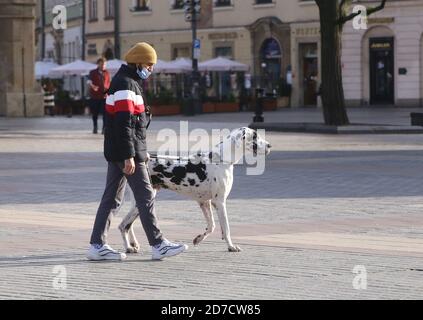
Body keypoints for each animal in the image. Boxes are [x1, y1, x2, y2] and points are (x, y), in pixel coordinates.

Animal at [119, 127, 272, 252]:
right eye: (255, 136)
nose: (270, 145)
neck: (221, 159)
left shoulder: (205, 202)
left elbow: (211, 226)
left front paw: (198, 238)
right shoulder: (220, 202)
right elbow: (226, 228)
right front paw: (231, 246)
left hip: (138, 202)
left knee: (129, 225)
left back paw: (133, 244)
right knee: (123, 225)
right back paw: (128, 248)